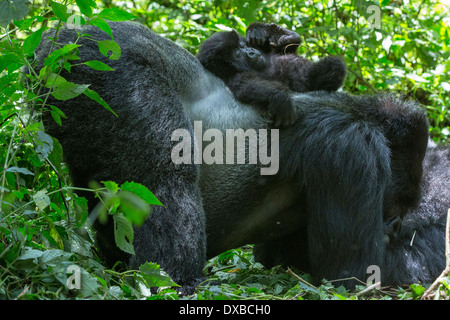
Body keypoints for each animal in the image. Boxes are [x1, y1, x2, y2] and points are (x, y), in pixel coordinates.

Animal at [197, 22, 348, 127]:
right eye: (238, 54)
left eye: (242, 45)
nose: (250, 51)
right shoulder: (234, 77)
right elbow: (247, 87)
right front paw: (281, 97)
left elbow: (285, 49)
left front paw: (273, 32)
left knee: (334, 66)